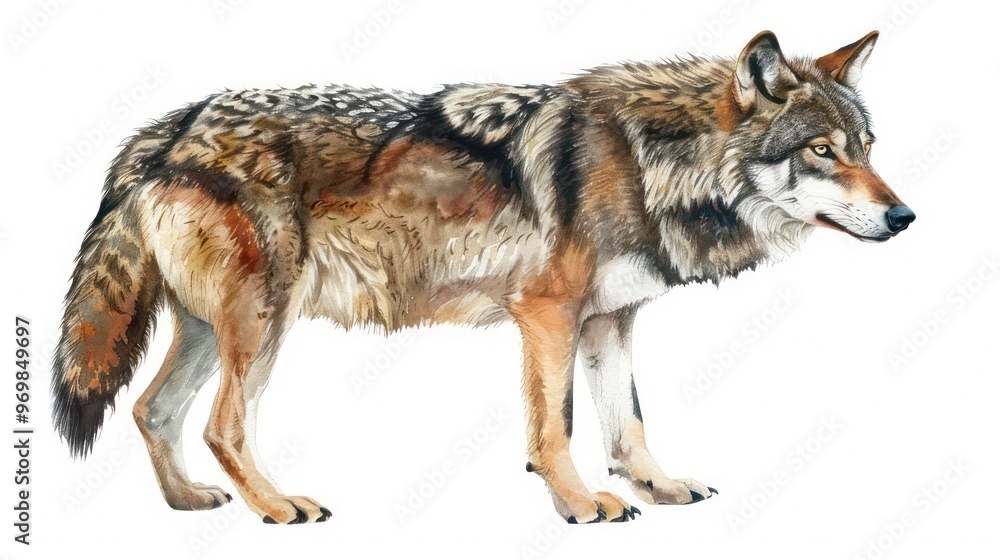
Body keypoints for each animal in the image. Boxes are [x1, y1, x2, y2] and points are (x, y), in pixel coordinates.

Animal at [52, 30, 914, 524]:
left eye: (867, 147)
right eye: (822, 151)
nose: (905, 217)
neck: (648, 163)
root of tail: (168, 128)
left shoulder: (609, 321)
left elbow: (628, 424)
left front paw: (658, 489)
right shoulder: (547, 313)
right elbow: (555, 427)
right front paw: (580, 505)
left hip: (217, 328)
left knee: (153, 411)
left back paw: (188, 504)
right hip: (262, 324)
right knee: (219, 425)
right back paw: (276, 506)